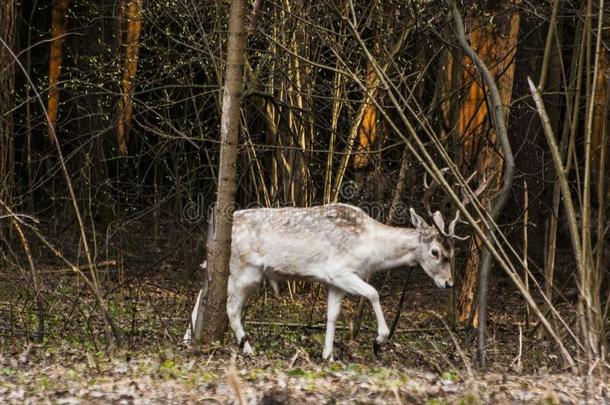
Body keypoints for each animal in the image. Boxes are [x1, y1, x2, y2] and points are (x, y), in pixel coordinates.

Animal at [183, 172, 486, 358]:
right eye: (436, 252)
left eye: (453, 251)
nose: (448, 282)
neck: (371, 249)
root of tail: (212, 233)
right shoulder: (339, 271)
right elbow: (374, 293)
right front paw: (378, 341)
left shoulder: (333, 282)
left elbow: (332, 315)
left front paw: (327, 354)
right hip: (246, 271)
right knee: (230, 307)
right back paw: (248, 348)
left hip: (227, 269)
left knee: (203, 292)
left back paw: (188, 339)